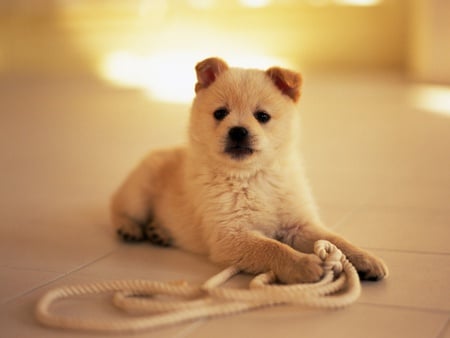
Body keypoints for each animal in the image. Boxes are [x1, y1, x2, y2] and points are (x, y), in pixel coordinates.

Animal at [110, 57, 388, 282]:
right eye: (220, 113)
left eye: (262, 116)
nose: (238, 131)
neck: (254, 177)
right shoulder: (231, 235)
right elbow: (273, 248)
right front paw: (303, 264)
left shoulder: (298, 225)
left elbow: (336, 240)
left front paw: (364, 259)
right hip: (139, 192)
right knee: (119, 207)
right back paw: (130, 228)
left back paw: (158, 231)